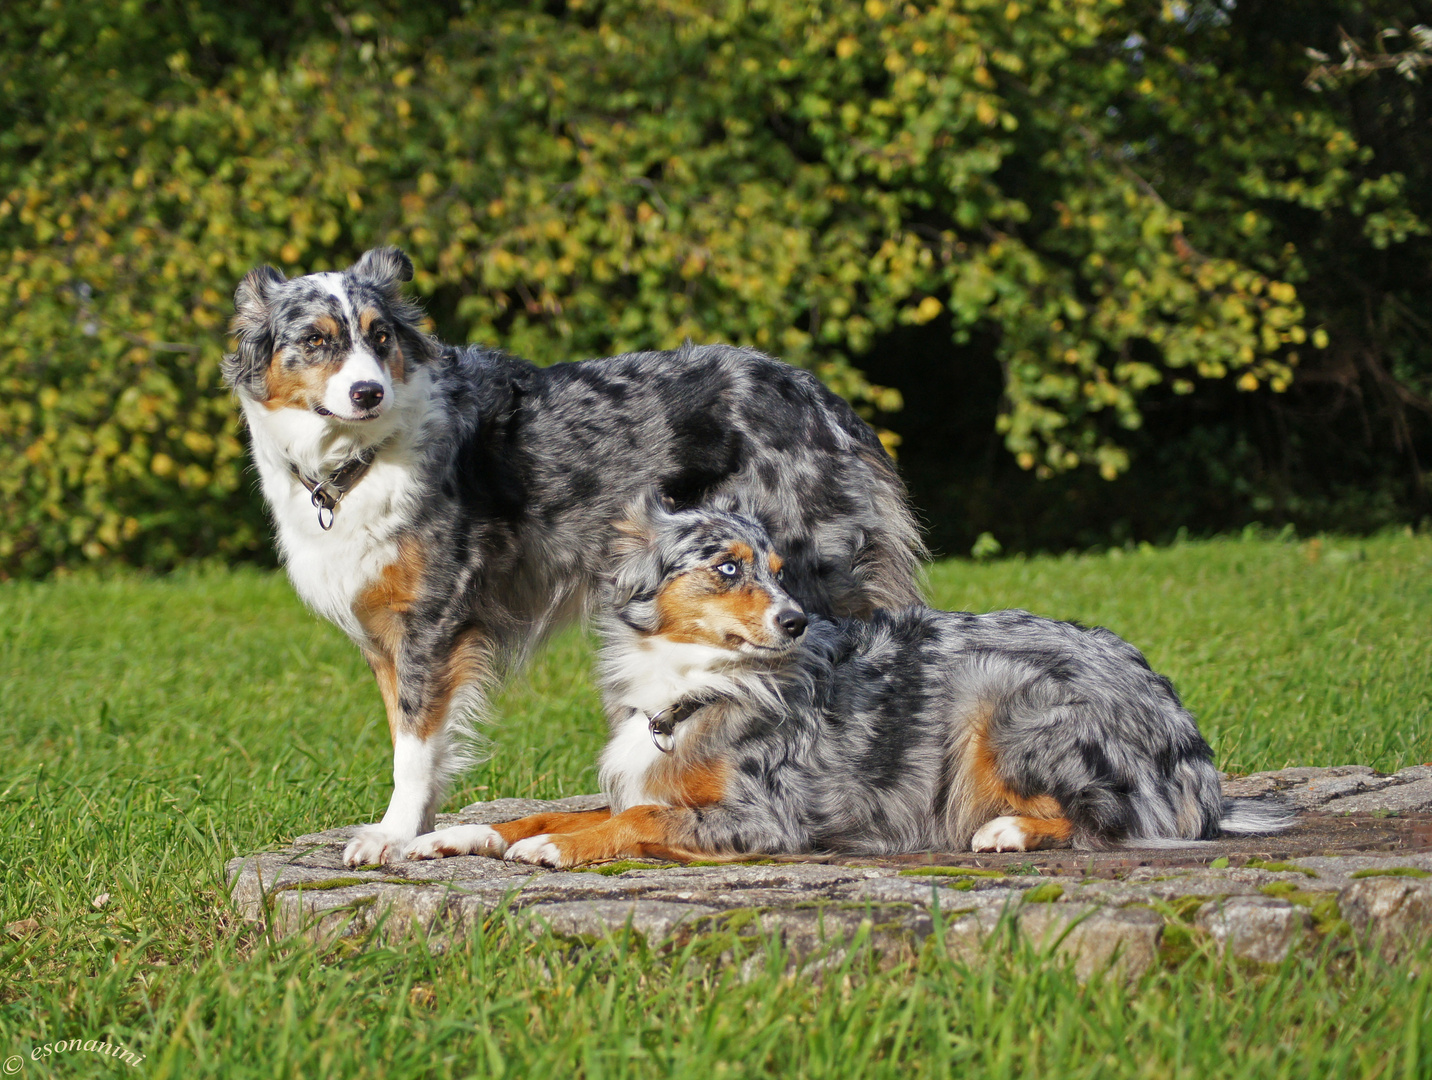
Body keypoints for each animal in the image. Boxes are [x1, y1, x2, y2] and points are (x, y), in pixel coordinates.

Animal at [217, 246, 922, 865]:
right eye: (316, 340)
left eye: (380, 336)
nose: (369, 392)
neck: (358, 458)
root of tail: (819, 396)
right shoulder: (386, 631)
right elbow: (409, 736)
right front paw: (419, 831)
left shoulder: (432, 619)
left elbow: (415, 746)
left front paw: (391, 834)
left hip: (793, 580)